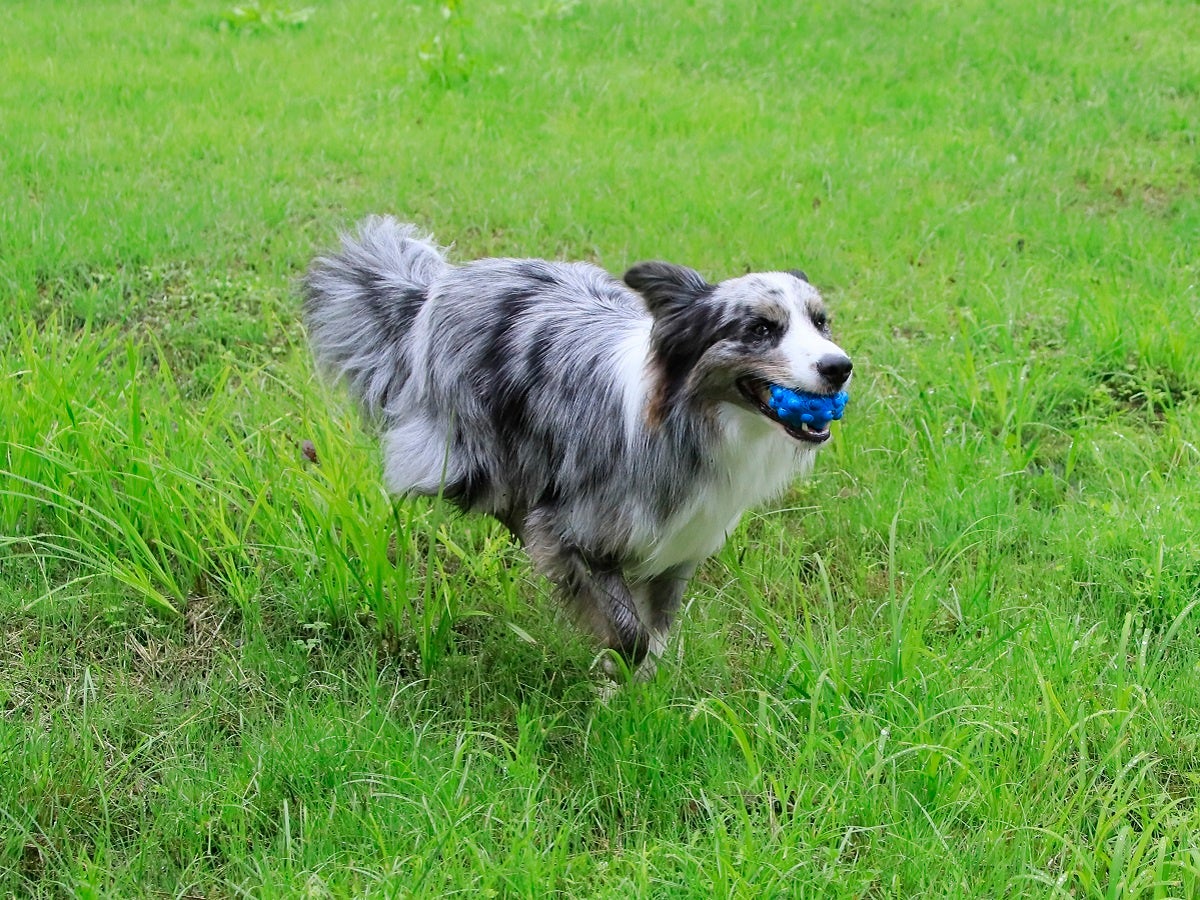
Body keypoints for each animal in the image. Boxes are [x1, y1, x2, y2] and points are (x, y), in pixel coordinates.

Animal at [303, 217, 852, 676]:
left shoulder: (680, 547)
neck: (689, 420)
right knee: (494, 494)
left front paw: (641, 693)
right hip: (464, 456)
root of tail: (438, 285)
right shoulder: (579, 531)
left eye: (820, 322)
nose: (839, 367)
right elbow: (629, 632)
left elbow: (655, 632)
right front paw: (616, 673)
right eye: (760, 329)